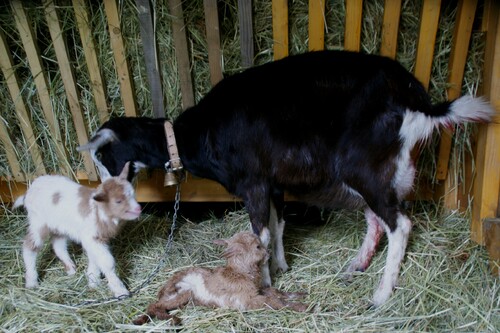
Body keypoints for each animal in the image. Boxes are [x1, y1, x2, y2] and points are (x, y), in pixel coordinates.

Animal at [13, 161, 141, 296]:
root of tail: (29, 191)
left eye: (133, 194)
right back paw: (31, 281)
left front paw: (93, 281)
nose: (138, 209)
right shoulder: (91, 237)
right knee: (30, 246)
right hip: (38, 222)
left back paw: (70, 268)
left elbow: (94, 258)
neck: (97, 210)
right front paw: (120, 290)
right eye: (118, 201)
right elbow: (107, 262)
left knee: (58, 245)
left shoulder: (94, 239)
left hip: (59, 226)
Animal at [76, 50, 494, 304]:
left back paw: (381, 294)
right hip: (375, 174)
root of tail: (414, 95)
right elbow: (277, 227)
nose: (99, 193)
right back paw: (355, 268)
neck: (197, 135)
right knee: (377, 220)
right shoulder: (273, 182)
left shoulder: (254, 183)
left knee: (400, 224)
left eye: (103, 156)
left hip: (366, 168)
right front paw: (280, 267)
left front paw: (262, 282)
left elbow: (258, 234)